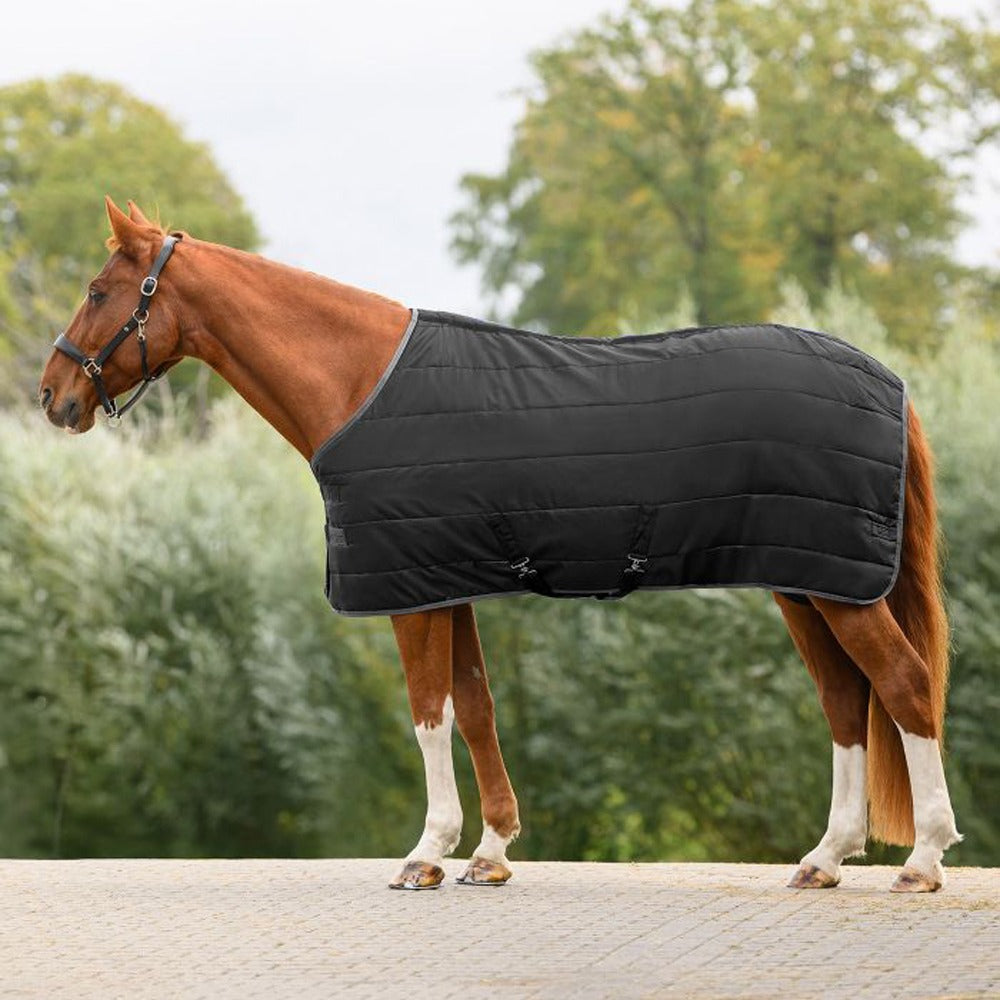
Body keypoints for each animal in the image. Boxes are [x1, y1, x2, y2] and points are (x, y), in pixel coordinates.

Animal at [39, 197, 961, 892]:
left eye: (98, 289)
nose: (52, 397)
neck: (360, 382)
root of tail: (890, 382)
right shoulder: (448, 583)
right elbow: (476, 707)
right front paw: (490, 852)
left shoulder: (411, 593)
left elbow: (428, 712)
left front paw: (426, 853)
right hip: (808, 583)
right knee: (846, 702)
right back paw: (824, 858)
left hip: (838, 588)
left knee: (904, 685)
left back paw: (921, 859)